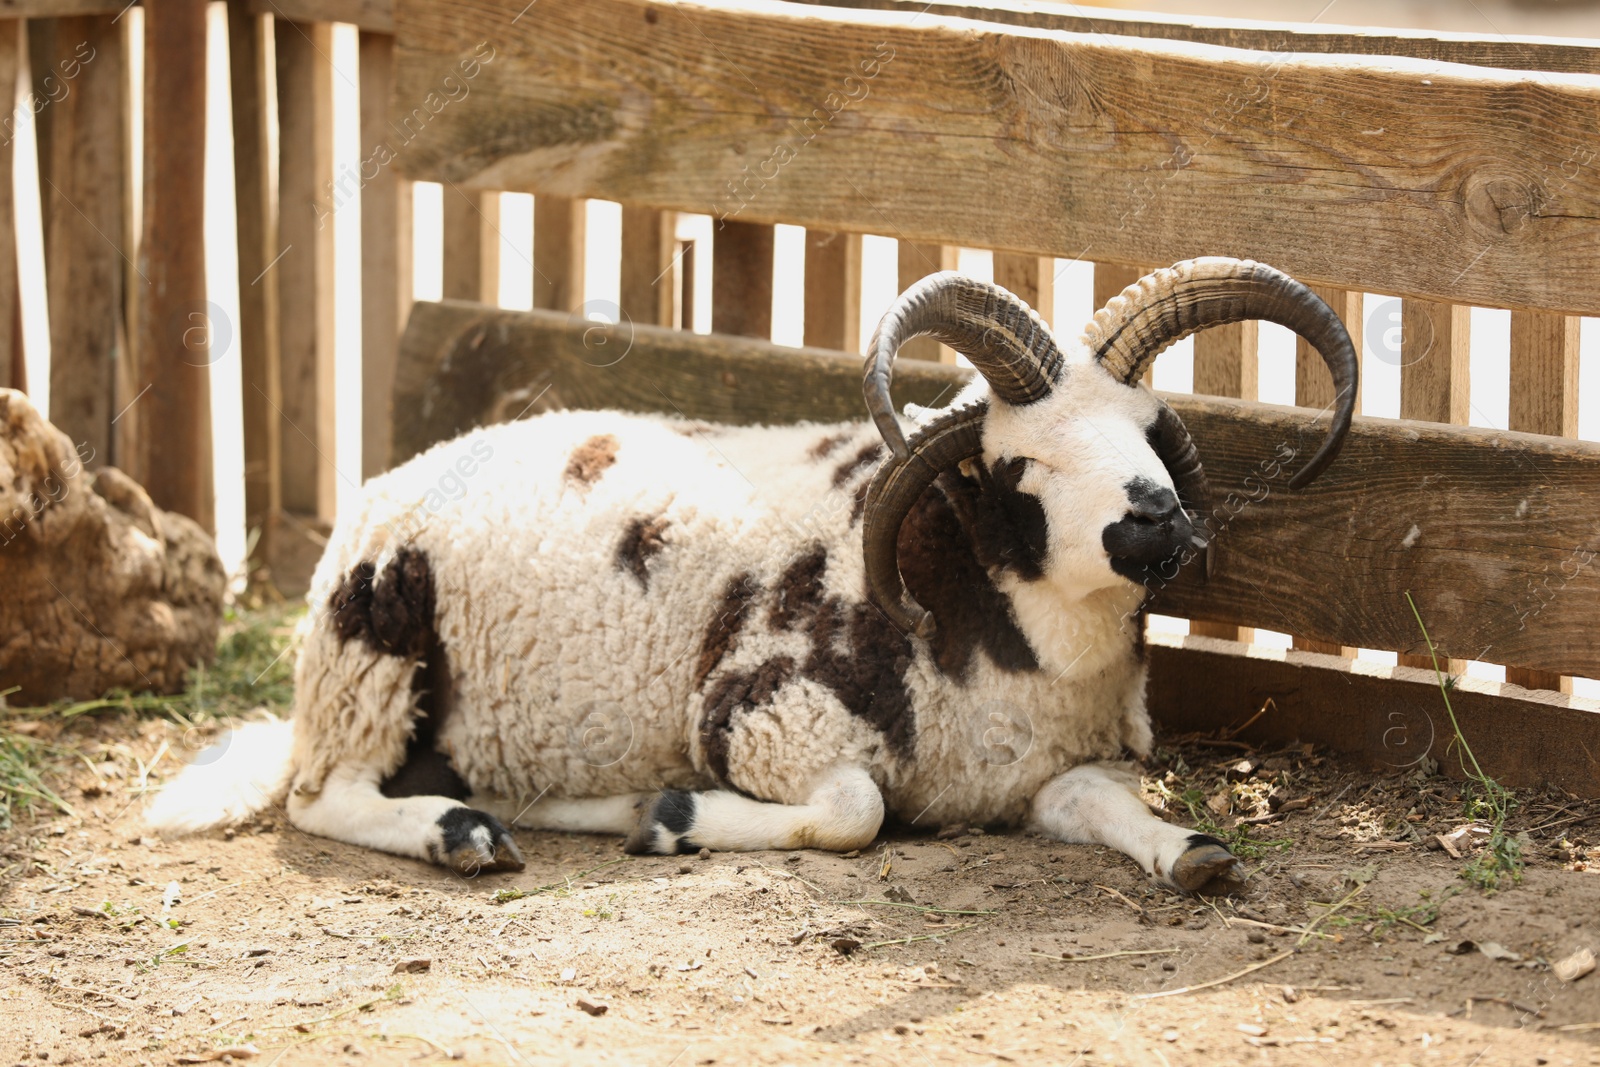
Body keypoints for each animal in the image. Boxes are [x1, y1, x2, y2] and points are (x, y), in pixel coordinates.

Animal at [150, 259, 1356, 895]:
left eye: (1150, 433)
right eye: (1025, 463)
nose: (1160, 521)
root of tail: (392, 475)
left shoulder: (1038, 768)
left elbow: (1104, 800)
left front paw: (1189, 849)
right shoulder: (758, 708)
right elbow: (856, 809)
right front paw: (683, 818)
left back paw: (588, 802)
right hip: (377, 648)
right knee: (323, 796)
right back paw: (463, 834)